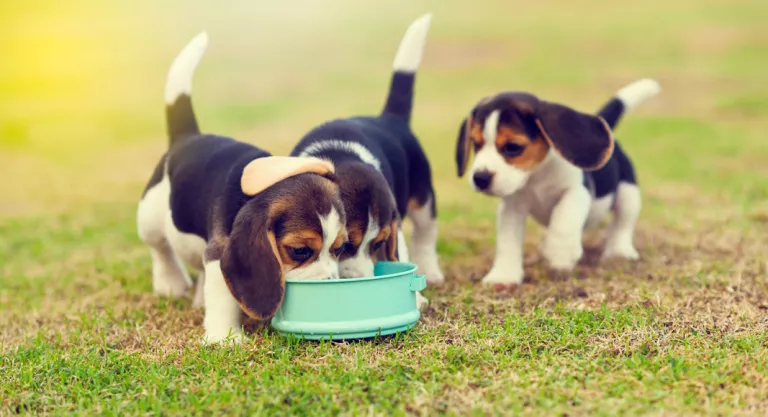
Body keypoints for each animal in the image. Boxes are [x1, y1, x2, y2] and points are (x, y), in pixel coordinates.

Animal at [136, 32, 346, 342]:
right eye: (299, 251)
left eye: (340, 248)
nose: (330, 285)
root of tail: (187, 136)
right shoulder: (221, 251)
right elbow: (223, 296)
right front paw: (225, 339)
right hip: (149, 214)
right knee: (159, 247)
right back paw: (170, 283)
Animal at [290, 13, 448, 290]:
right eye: (344, 246)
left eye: (378, 244)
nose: (360, 280)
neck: (337, 154)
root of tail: (390, 118)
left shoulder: (394, 225)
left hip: (424, 199)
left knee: (425, 234)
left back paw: (431, 272)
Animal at [456, 79, 660, 286]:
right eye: (476, 144)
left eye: (513, 147)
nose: (480, 178)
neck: (536, 175)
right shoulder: (511, 208)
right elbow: (508, 241)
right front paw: (503, 276)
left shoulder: (577, 191)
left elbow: (564, 218)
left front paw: (561, 254)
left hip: (628, 193)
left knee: (622, 223)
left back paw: (619, 251)